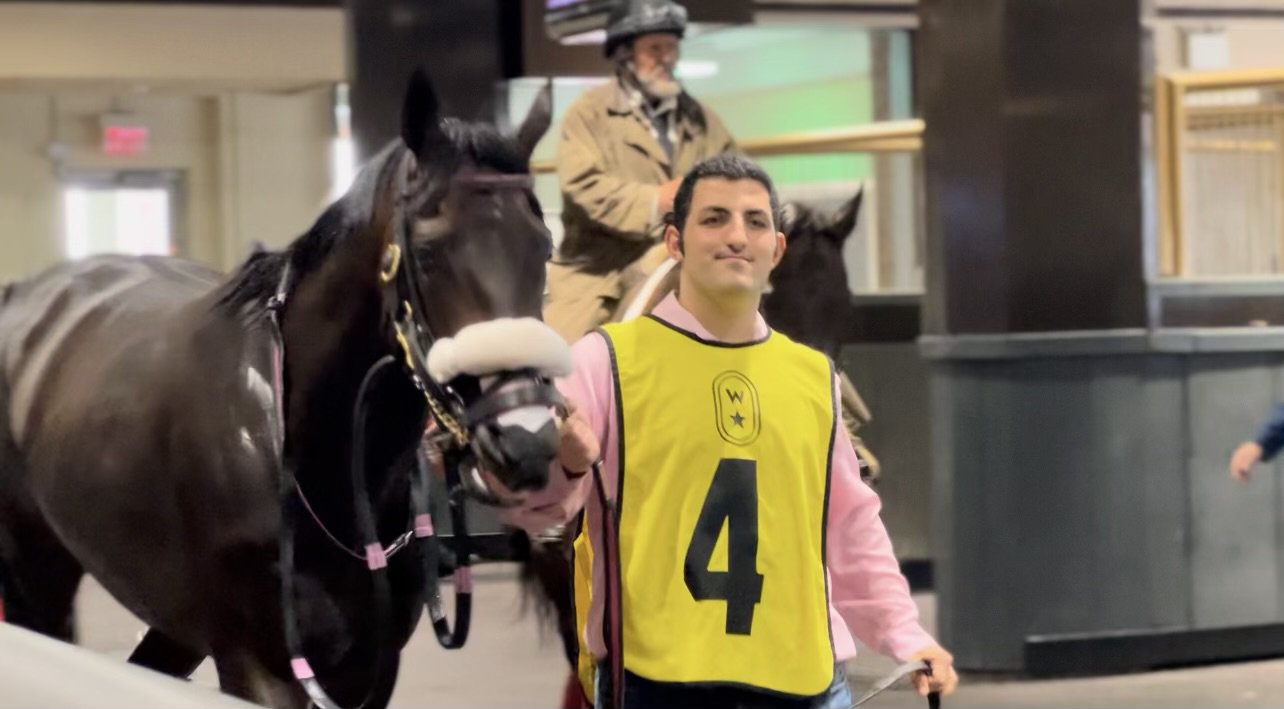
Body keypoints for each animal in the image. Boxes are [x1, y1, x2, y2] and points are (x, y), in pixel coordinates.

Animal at [0, 73, 567, 709]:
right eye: (428, 251)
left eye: (544, 246)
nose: (526, 438)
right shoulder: (259, 667)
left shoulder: (369, 668)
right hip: (34, 579)